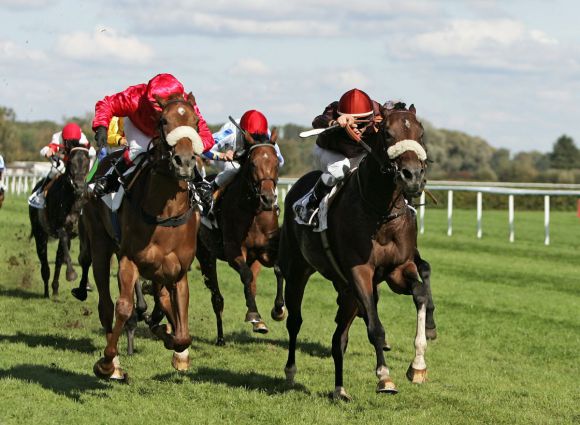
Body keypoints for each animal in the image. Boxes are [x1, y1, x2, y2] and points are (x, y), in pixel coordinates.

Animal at [28, 144, 90, 296]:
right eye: (71, 162)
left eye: (87, 162)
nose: (79, 186)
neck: (73, 200)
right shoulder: (61, 228)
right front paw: (71, 274)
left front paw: (87, 284)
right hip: (40, 234)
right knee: (44, 262)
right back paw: (46, 291)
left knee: (58, 259)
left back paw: (55, 289)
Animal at [81, 94, 204, 380]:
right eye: (163, 120)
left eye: (195, 121)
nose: (184, 162)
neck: (165, 213)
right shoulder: (129, 259)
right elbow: (123, 307)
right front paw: (107, 363)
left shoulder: (178, 271)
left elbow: (183, 331)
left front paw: (175, 346)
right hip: (100, 243)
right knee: (106, 305)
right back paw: (114, 365)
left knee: (163, 300)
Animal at [196, 130, 284, 344]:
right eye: (252, 164)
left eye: (276, 163)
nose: (268, 199)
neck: (253, 213)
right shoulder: (233, 250)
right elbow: (246, 275)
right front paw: (253, 314)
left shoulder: (265, 251)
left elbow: (277, 269)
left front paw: (278, 310)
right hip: (205, 255)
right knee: (216, 297)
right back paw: (220, 337)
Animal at [280, 104, 436, 400]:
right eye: (387, 133)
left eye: (421, 133)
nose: (412, 176)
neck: (381, 213)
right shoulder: (359, 271)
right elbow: (375, 327)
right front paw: (385, 377)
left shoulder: (398, 269)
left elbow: (420, 293)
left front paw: (418, 365)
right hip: (297, 269)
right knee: (295, 320)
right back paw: (291, 372)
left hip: (347, 291)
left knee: (338, 338)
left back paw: (339, 389)